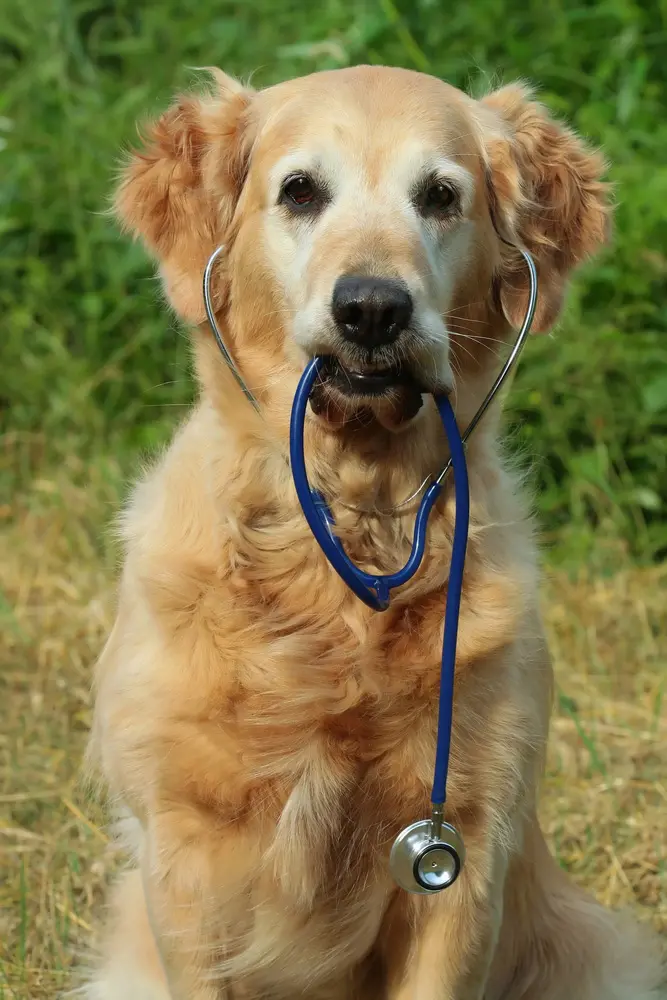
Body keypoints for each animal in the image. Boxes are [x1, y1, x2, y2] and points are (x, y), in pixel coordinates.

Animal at [85, 66, 667, 996]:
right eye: (299, 191)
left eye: (439, 196)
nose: (370, 308)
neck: (353, 525)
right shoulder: (184, 857)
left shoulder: (462, 852)